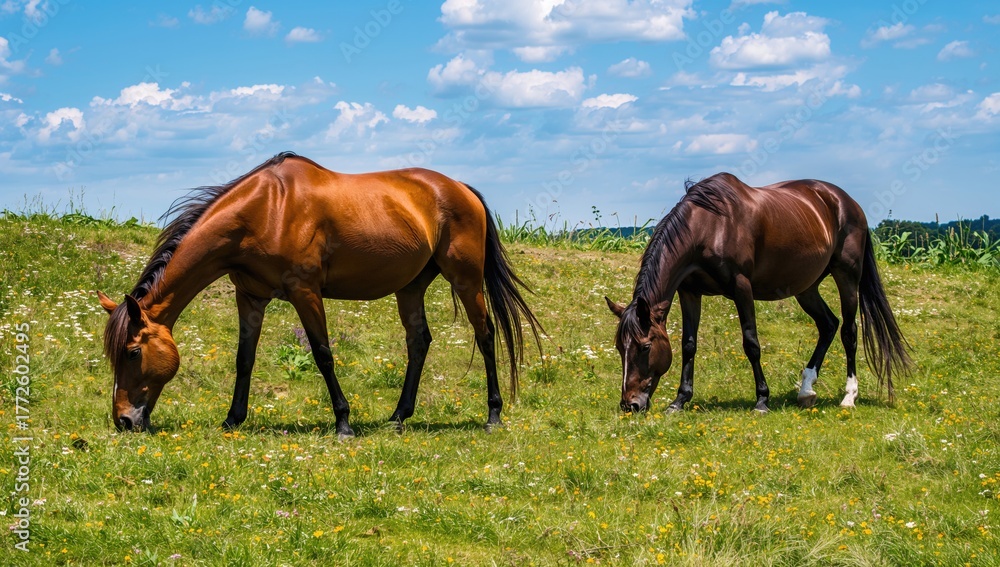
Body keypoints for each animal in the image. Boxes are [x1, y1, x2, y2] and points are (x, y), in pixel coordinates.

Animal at [98, 152, 542, 437]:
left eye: (133, 352)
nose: (124, 421)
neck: (267, 209)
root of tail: (460, 188)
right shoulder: (250, 297)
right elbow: (244, 359)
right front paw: (232, 420)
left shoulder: (305, 291)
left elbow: (323, 354)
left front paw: (343, 423)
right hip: (411, 286)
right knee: (419, 342)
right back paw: (398, 417)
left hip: (464, 279)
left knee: (486, 335)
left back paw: (493, 416)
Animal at [605, 173, 910, 414]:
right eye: (620, 347)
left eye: (645, 347)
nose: (630, 405)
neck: (710, 226)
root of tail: (846, 202)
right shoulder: (690, 292)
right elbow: (688, 345)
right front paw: (679, 401)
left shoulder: (742, 288)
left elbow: (751, 344)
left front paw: (762, 400)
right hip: (806, 288)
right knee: (828, 325)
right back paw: (806, 390)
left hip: (847, 276)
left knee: (849, 331)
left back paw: (849, 396)